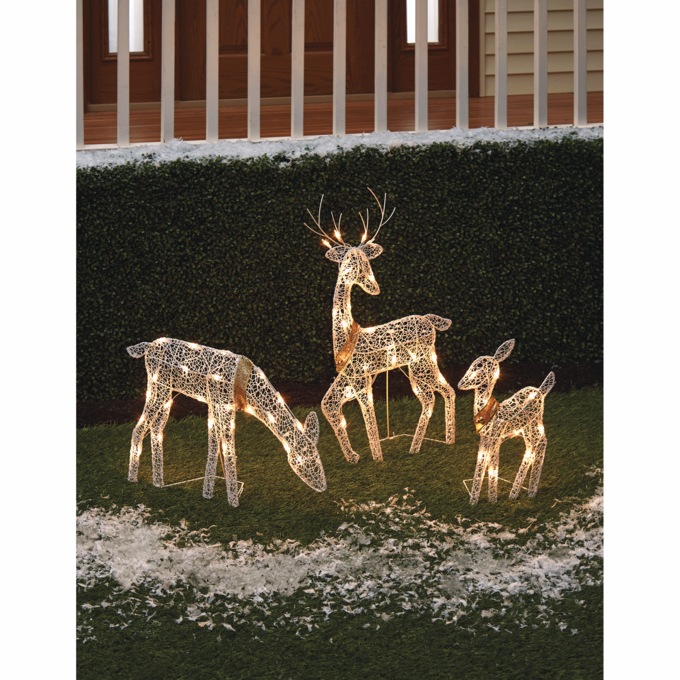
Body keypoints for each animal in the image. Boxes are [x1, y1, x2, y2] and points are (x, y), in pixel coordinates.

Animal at [126, 338, 326, 507]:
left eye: (317, 456)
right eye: (303, 458)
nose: (322, 486)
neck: (248, 389)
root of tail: (149, 346)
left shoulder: (213, 405)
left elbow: (213, 446)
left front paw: (207, 494)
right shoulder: (223, 406)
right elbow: (228, 449)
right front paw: (233, 502)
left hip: (168, 394)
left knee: (156, 428)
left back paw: (158, 482)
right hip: (158, 387)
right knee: (139, 427)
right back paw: (132, 479)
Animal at [304, 189, 456, 464]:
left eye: (367, 260)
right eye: (349, 260)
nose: (374, 287)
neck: (344, 335)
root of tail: (430, 320)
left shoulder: (362, 380)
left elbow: (368, 415)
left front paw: (376, 456)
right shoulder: (348, 381)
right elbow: (327, 406)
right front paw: (353, 456)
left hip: (420, 365)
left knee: (434, 396)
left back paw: (418, 446)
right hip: (423, 364)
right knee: (443, 392)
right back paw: (441, 441)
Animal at [457, 339, 555, 505]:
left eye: (479, 367)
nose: (460, 384)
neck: (489, 413)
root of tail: (541, 391)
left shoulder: (495, 439)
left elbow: (493, 466)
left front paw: (492, 499)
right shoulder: (485, 439)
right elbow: (481, 462)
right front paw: (473, 500)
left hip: (534, 425)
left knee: (538, 445)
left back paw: (522, 492)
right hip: (527, 429)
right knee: (536, 445)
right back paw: (524, 492)